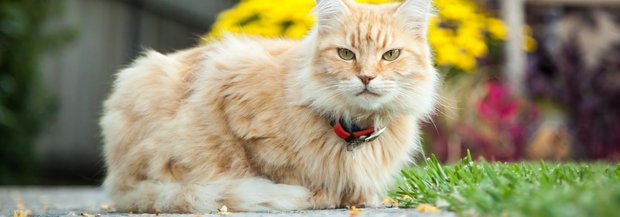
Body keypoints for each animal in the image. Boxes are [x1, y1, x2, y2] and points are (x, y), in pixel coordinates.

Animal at [100, 0, 436, 214]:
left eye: (391, 55)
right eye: (345, 54)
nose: (366, 77)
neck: (354, 125)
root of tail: (119, 183)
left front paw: (363, 197)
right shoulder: (235, 103)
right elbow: (280, 172)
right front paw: (322, 195)